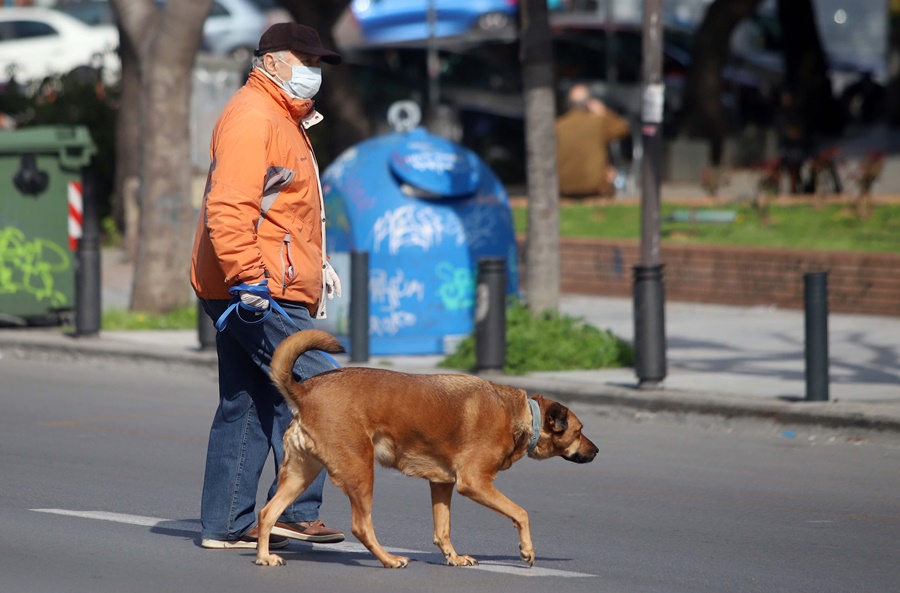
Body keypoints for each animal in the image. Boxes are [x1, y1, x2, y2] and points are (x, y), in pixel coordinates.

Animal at [255, 328, 596, 568]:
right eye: (580, 431)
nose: (596, 451)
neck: (522, 414)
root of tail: (306, 391)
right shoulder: (475, 483)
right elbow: (521, 513)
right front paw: (527, 550)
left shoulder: (442, 483)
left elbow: (442, 529)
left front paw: (453, 558)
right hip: (360, 470)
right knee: (361, 526)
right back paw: (388, 559)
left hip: (301, 474)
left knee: (267, 512)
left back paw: (264, 556)